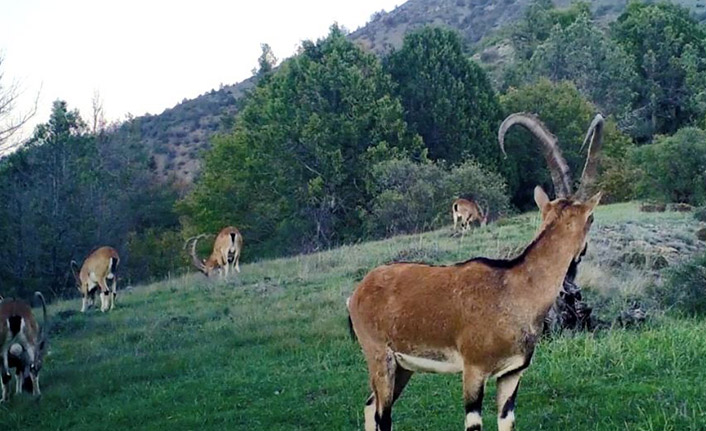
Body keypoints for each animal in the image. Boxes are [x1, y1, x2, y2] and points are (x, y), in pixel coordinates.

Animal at [346, 113, 600, 430]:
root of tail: (357, 292)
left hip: (403, 367)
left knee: (370, 405)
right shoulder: (473, 370)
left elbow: (506, 420)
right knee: (383, 414)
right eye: (591, 219)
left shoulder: (511, 374)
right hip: (380, 356)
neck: (515, 289)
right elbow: (473, 422)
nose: (581, 255)